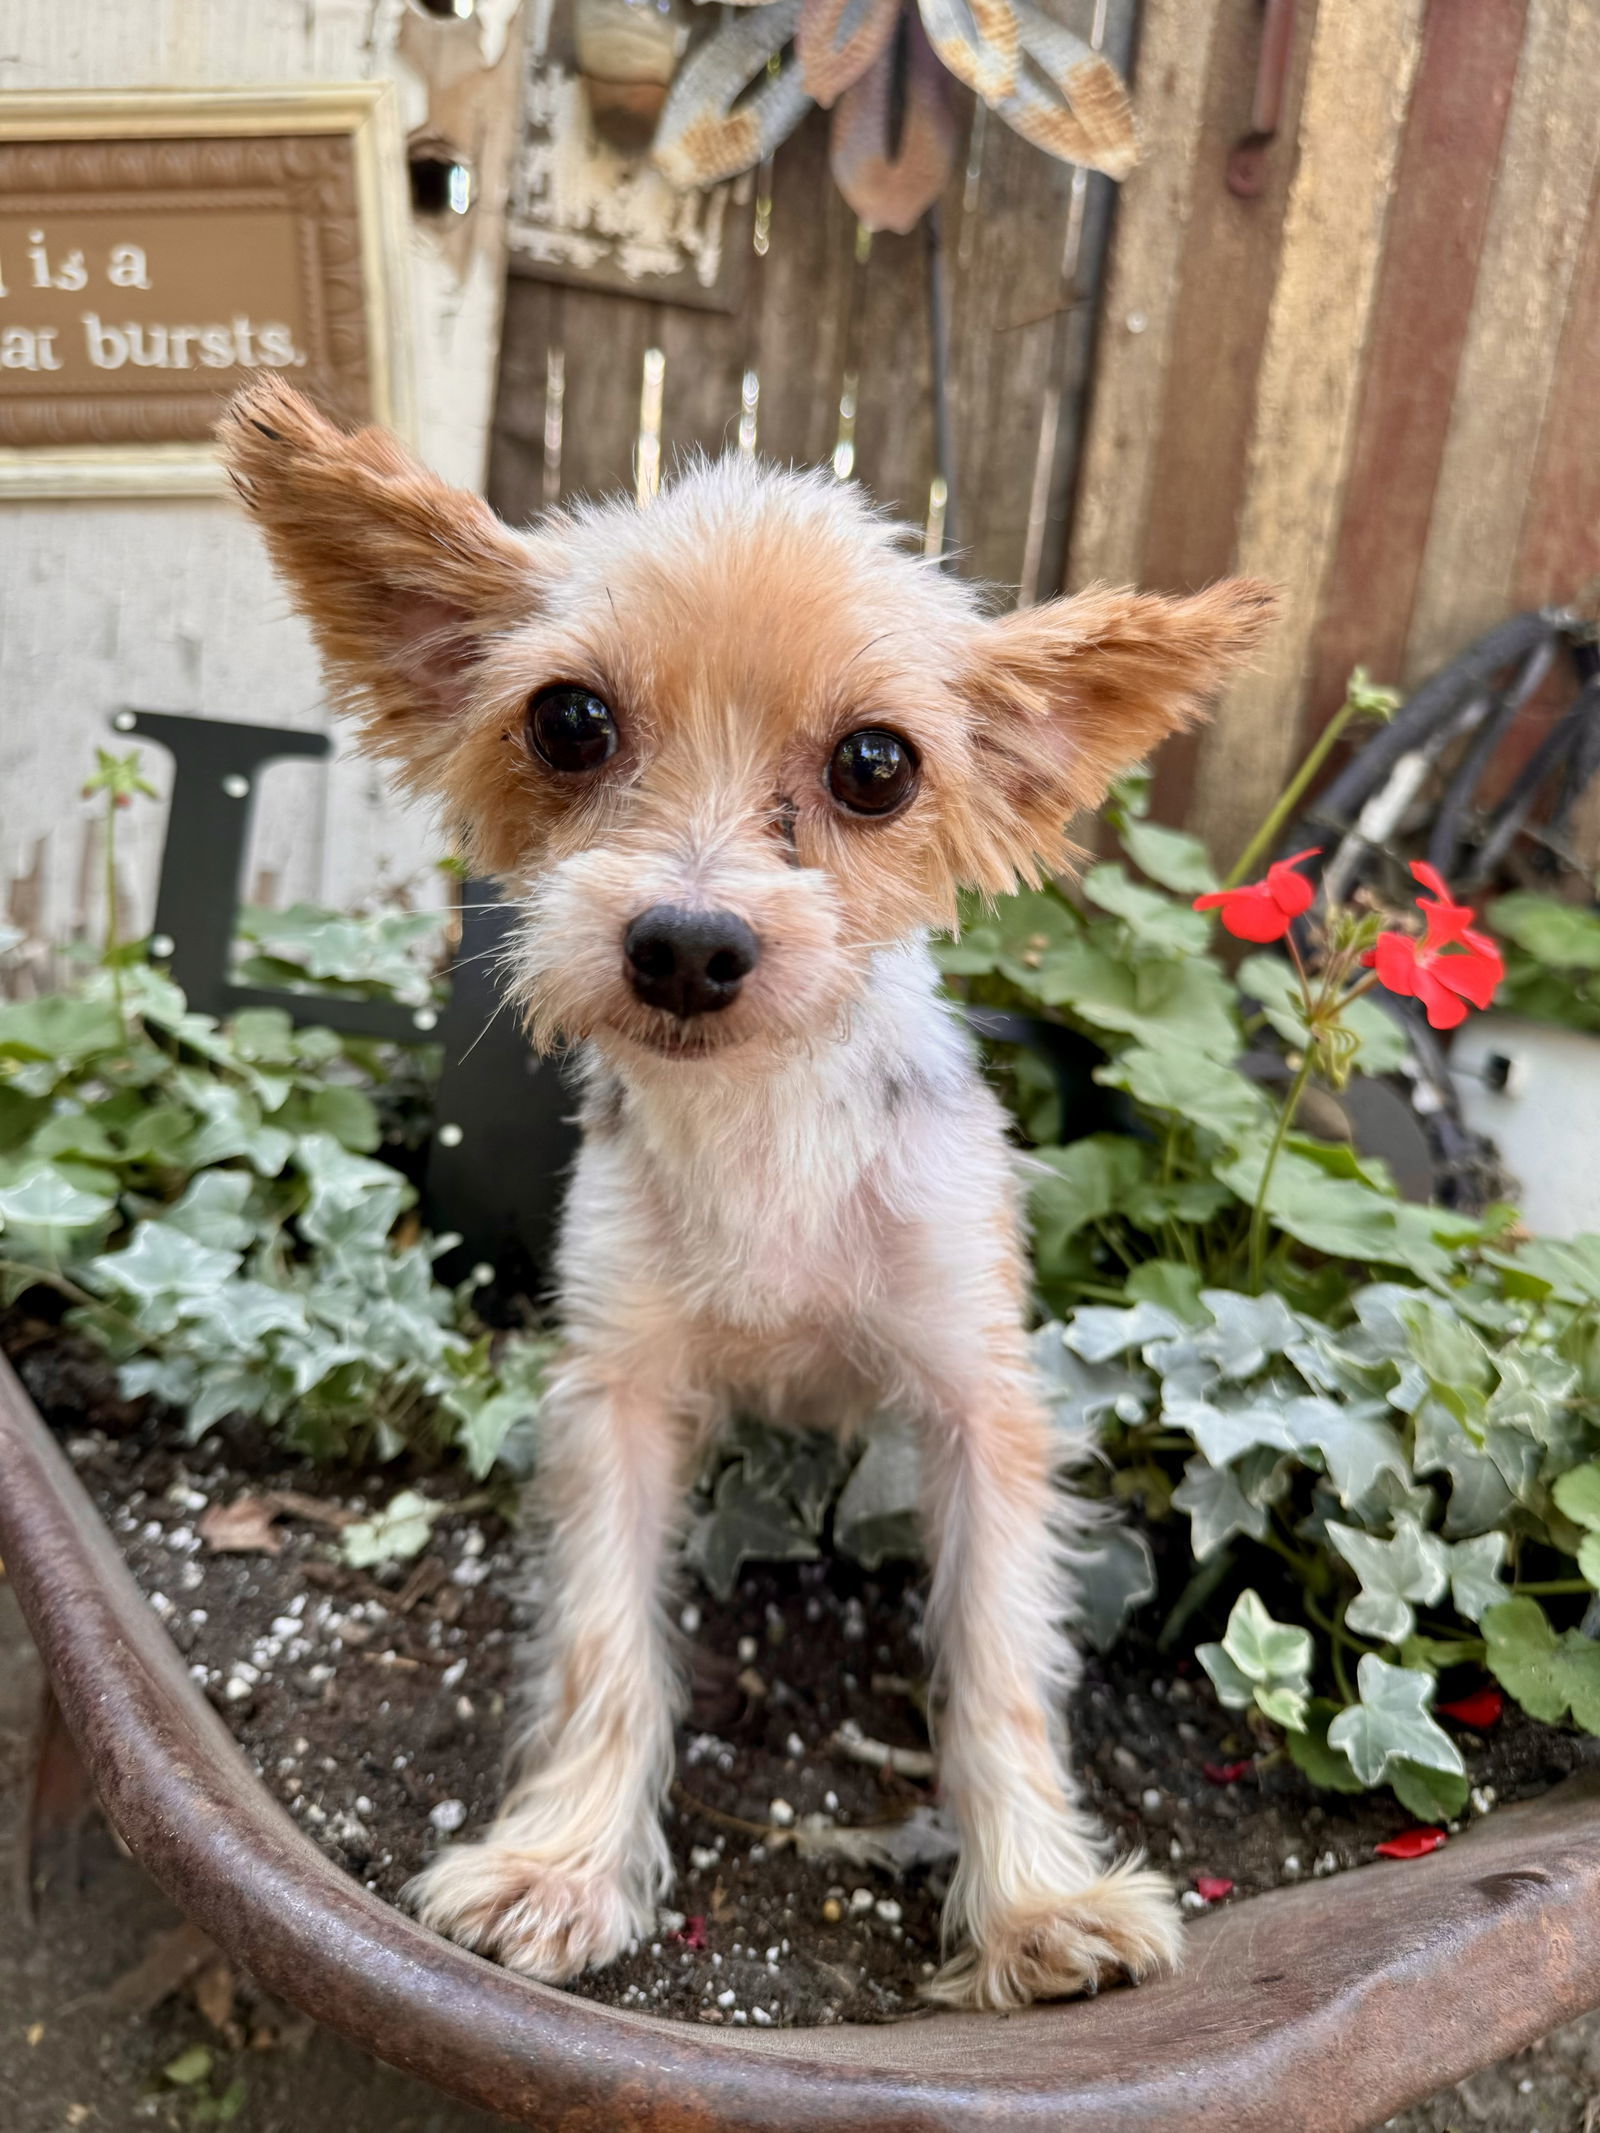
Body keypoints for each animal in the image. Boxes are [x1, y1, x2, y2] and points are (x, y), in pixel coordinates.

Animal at [219, 379, 1280, 1996]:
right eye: (569, 720)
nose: (686, 944)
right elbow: (604, 1640)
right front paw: (563, 1862)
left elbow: (997, 1660)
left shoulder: (981, 1401)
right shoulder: (618, 1390)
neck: (761, 1124)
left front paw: (1037, 1904)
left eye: (876, 765)